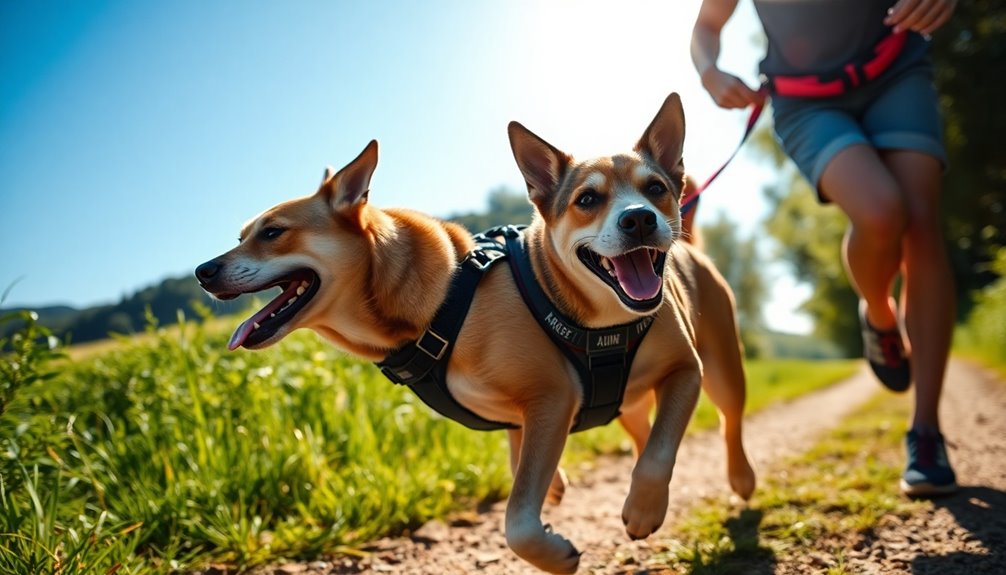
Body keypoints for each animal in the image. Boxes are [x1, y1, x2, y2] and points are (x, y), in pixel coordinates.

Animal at [194, 91, 756, 570]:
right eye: (586, 200)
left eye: (273, 233)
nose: (203, 270)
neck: (444, 299)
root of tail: (690, 245)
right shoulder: (535, 413)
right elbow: (528, 466)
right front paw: (562, 490)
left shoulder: (629, 382)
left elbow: (527, 519)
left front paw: (608, 528)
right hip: (630, 405)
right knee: (644, 431)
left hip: (720, 370)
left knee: (725, 422)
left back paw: (739, 480)